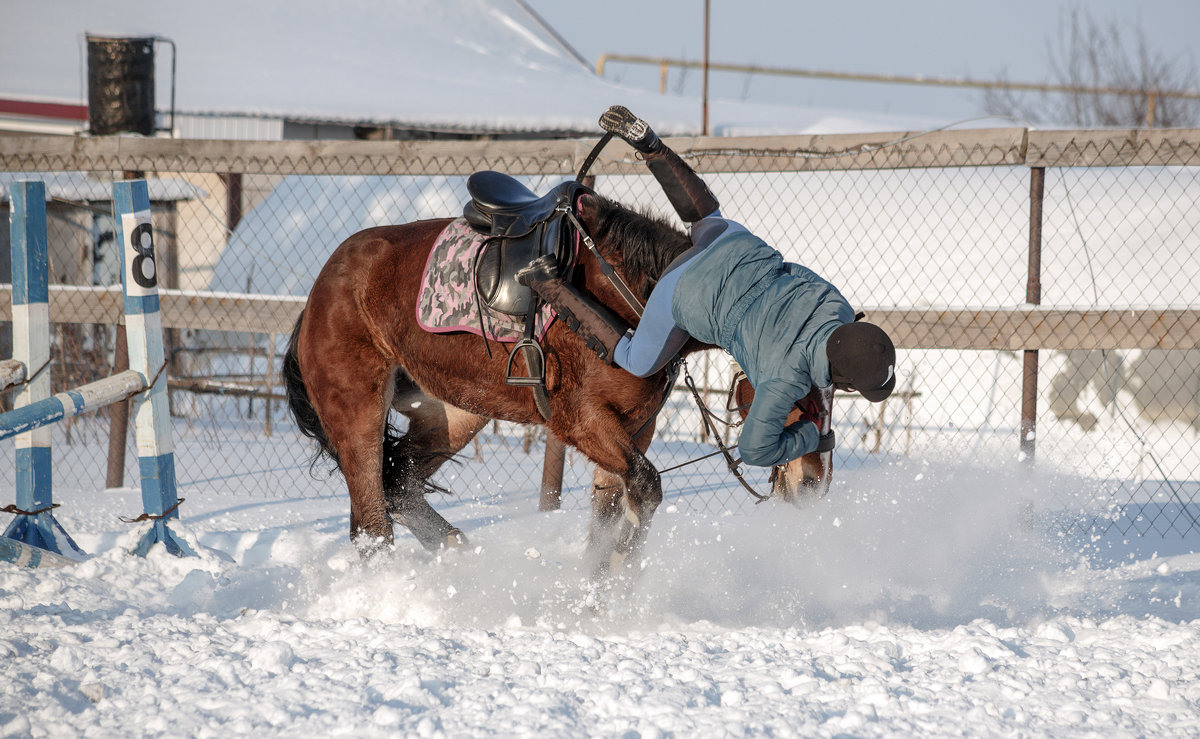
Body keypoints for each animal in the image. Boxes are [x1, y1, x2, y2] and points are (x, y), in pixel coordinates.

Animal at [284, 191, 835, 578]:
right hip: (358, 408)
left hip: (454, 412)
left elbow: (608, 516)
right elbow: (645, 491)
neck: (636, 293)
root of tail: (320, 289)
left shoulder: (633, 430)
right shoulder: (583, 421)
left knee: (399, 485)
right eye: (801, 392)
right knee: (372, 522)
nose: (814, 481)